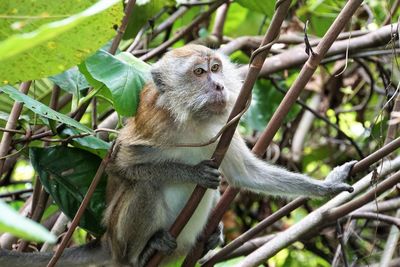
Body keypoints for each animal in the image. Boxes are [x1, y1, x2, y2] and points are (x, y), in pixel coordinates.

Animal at [0, 45, 354, 266]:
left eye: (215, 68)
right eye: (198, 72)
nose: (219, 86)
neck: (192, 120)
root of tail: (106, 243)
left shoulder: (223, 125)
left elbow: (245, 174)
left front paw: (328, 187)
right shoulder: (153, 126)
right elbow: (119, 165)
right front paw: (190, 173)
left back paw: (207, 240)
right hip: (119, 238)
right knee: (143, 188)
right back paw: (139, 255)